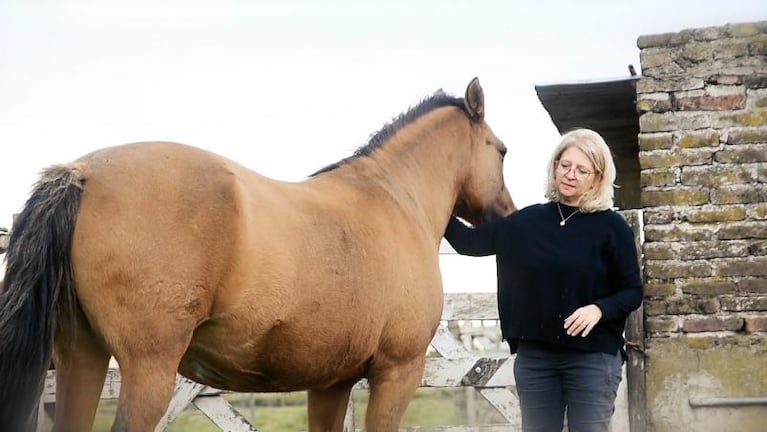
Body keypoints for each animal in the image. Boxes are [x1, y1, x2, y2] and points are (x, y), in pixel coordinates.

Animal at [1, 78, 516, 432]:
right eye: (502, 151)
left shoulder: (331, 384)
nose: (508, 216)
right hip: (148, 370)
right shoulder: (397, 373)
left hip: (82, 359)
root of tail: (81, 173)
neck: (392, 199)